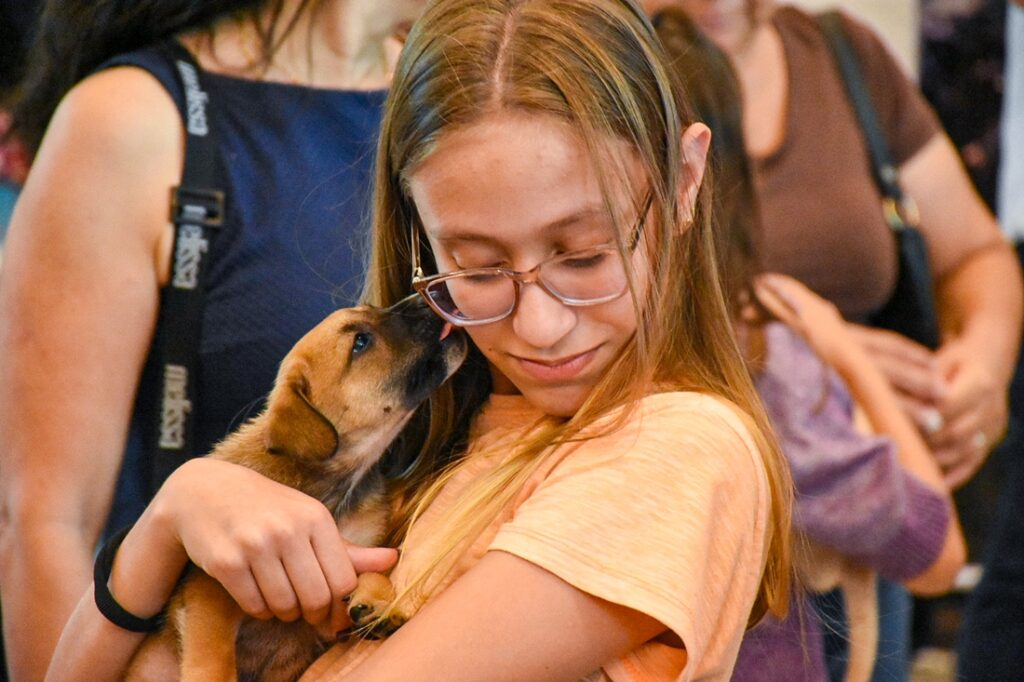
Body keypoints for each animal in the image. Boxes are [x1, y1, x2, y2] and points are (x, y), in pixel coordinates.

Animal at [124, 296, 471, 679]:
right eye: (360, 342)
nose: (424, 299)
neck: (334, 488)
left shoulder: (327, 603)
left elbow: (374, 569)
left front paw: (380, 601)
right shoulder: (210, 590)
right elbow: (213, 656)